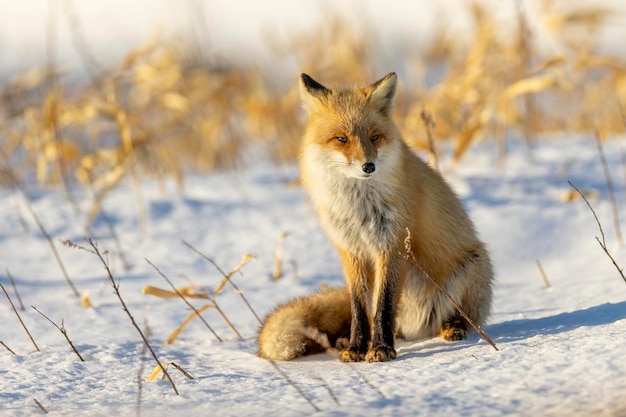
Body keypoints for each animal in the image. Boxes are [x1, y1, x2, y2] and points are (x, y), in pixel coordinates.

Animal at [256, 73, 490, 362]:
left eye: (375, 137)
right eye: (342, 139)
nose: (369, 166)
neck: (359, 208)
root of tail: (416, 327)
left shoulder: (393, 245)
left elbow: (384, 305)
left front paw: (381, 348)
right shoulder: (351, 251)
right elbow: (359, 308)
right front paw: (357, 347)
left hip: (473, 267)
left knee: (467, 318)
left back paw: (452, 326)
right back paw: (346, 340)